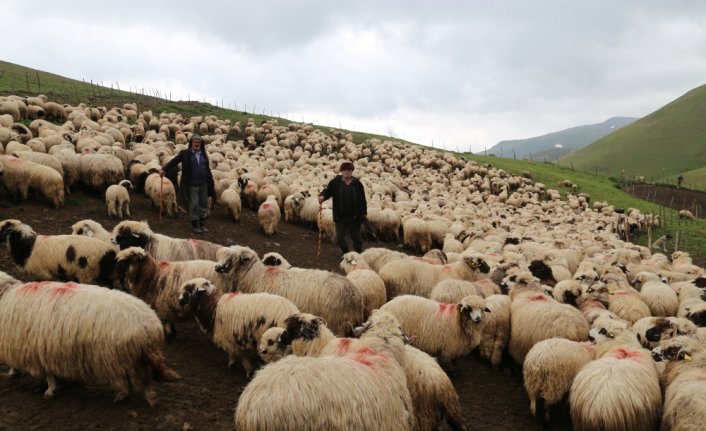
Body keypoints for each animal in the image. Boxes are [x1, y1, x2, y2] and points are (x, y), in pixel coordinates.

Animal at [0, 272, 179, 406]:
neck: (7, 294)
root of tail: (150, 326)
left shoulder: (35, 349)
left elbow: (48, 376)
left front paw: (48, 390)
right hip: (135, 358)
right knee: (145, 378)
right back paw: (148, 398)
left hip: (118, 357)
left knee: (135, 380)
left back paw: (127, 396)